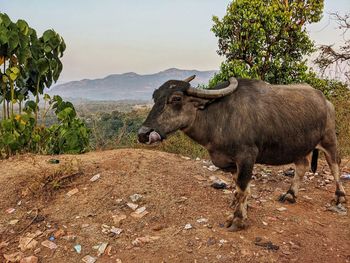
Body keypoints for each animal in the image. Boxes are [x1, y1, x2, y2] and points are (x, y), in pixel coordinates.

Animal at [137, 76, 344, 231]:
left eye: (176, 99)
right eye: (155, 98)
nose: (143, 134)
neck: (218, 117)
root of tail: (326, 101)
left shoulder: (247, 157)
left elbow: (243, 187)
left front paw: (238, 219)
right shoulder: (229, 162)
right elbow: (239, 187)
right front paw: (238, 203)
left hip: (329, 139)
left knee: (335, 166)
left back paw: (339, 196)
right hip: (299, 146)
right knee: (301, 167)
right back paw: (290, 194)